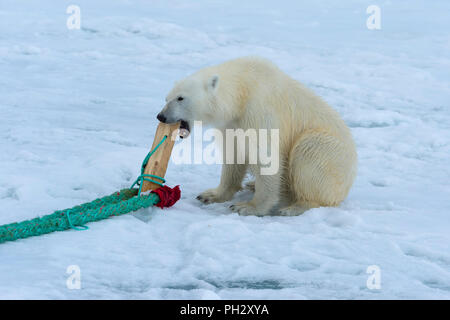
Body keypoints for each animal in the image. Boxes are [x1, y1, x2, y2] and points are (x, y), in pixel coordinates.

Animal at [156, 57, 356, 215]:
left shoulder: (258, 112)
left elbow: (266, 156)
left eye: (181, 98)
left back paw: (294, 207)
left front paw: (247, 207)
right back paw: (253, 184)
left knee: (309, 152)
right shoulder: (231, 123)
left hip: (329, 154)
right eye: (166, 98)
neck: (242, 89)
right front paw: (210, 195)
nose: (161, 116)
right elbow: (234, 153)